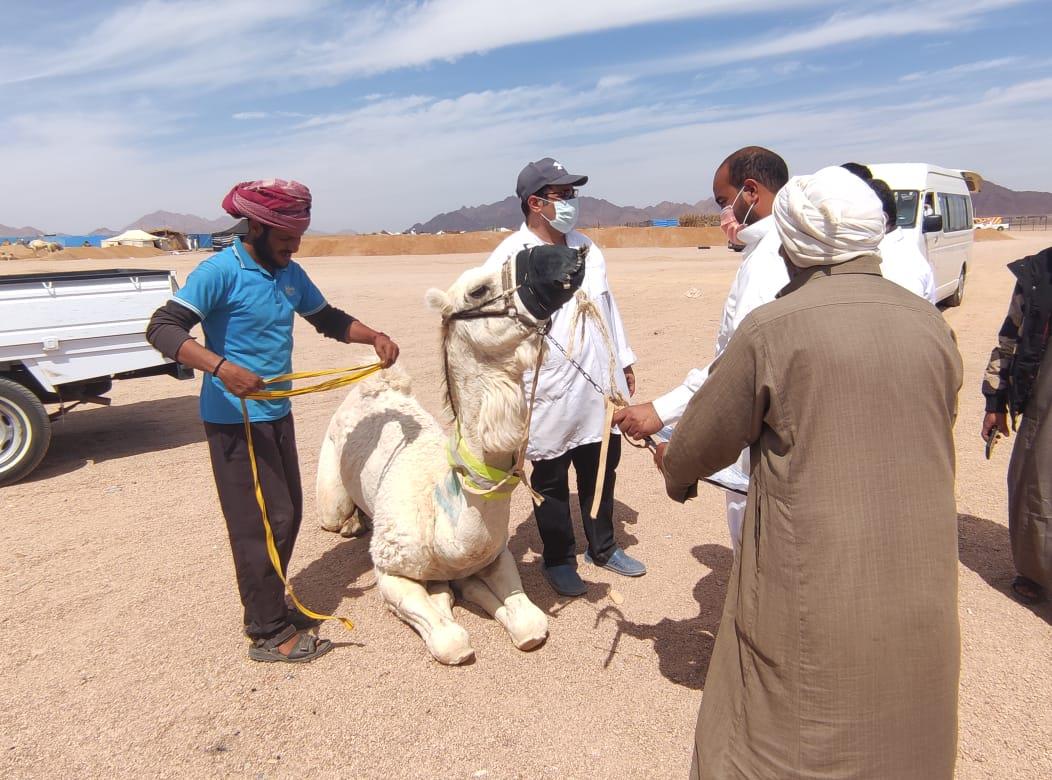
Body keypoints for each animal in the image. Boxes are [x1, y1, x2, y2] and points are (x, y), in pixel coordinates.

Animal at [317, 249, 584, 665]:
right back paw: (351, 525)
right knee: (334, 514)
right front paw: (445, 598)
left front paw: (466, 590)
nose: (571, 256)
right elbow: (450, 641)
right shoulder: (389, 570)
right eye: (477, 290)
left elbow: (531, 624)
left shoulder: (495, 555)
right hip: (329, 485)